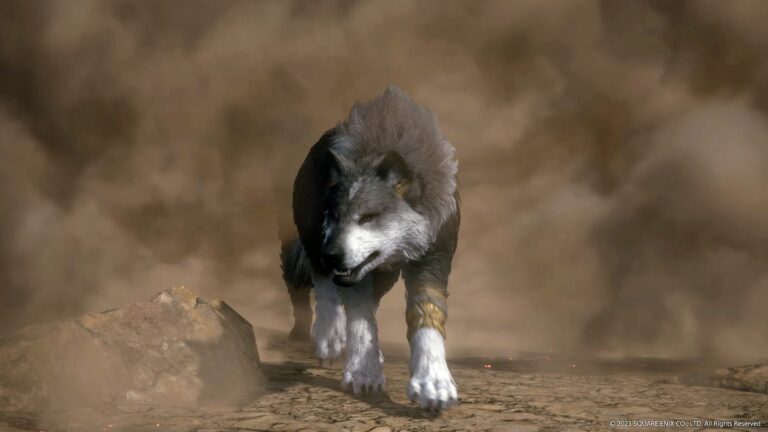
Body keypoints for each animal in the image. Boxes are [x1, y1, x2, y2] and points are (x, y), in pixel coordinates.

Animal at [280, 86, 460, 410]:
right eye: (334, 215)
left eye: (368, 217)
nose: (331, 255)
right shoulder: (339, 260)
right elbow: (358, 312)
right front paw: (363, 373)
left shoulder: (434, 256)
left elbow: (427, 310)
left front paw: (433, 382)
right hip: (312, 238)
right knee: (321, 282)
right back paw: (329, 335)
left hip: (382, 274)